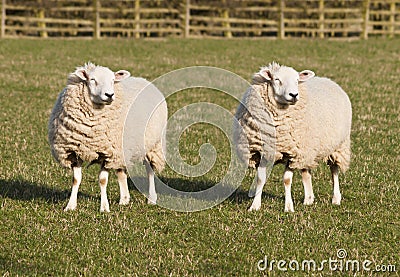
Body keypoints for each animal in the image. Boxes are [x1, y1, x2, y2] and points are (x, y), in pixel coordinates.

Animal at [48, 62, 167, 211]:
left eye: (112, 80)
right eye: (92, 79)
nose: (109, 95)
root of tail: (144, 80)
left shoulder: (107, 153)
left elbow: (102, 180)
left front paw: (104, 208)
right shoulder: (74, 152)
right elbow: (76, 180)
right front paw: (70, 206)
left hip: (151, 144)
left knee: (150, 170)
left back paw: (151, 198)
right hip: (122, 148)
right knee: (121, 171)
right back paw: (124, 199)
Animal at [236, 61, 352, 211]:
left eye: (297, 80)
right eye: (277, 79)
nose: (294, 94)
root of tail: (329, 80)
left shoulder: (292, 154)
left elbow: (286, 180)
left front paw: (288, 207)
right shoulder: (262, 152)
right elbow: (260, 180)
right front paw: (255, 206)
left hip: (338, 146)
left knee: (334, 171)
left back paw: (336, 198)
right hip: (307, 149)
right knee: (306, 171)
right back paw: (309, 199)